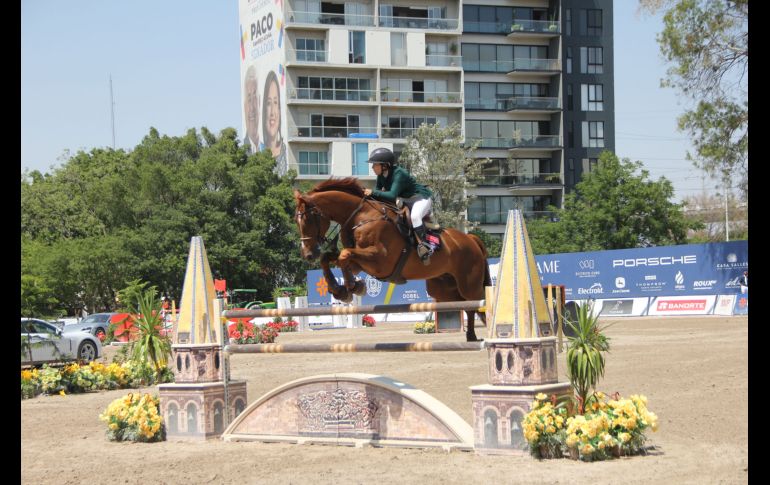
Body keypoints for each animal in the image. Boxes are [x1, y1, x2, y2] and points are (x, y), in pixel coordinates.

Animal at [292, 177, 488, 340]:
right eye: (296, 220)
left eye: (307, 219)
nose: (308, 254)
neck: (360, 216)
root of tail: (470, 239)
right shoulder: (360, 263)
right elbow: (331, 258)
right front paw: (343, 288)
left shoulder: (380, 261)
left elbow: (344, 255)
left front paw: (351, 287)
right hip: (442, 289)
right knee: (468, 306)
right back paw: (471, 336)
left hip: (469, 284)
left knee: (478, 302)